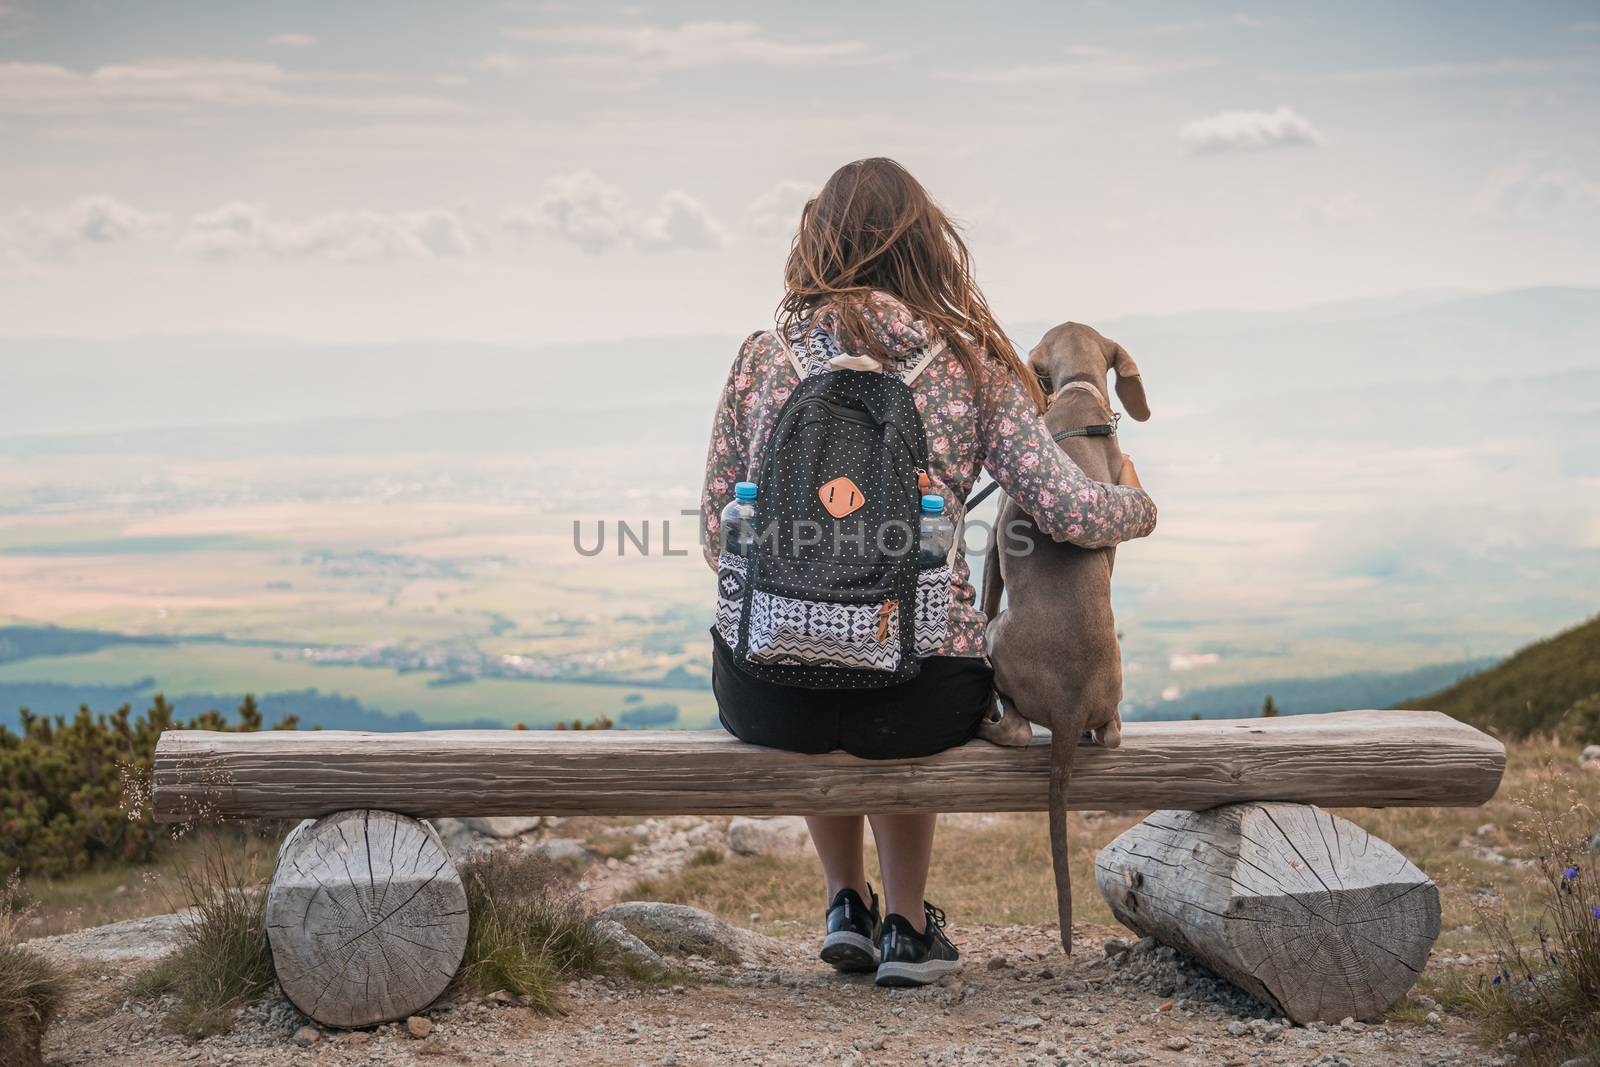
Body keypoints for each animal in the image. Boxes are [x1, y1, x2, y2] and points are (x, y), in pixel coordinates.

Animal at [972, 321, 1152, 953]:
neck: (1081, 395)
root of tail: (1072, 713)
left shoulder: (996, 533)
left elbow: (987, 587)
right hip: (1109, 700)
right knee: (1113, 735)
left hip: (998, 639)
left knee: (1018, 730)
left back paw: (987, 724)